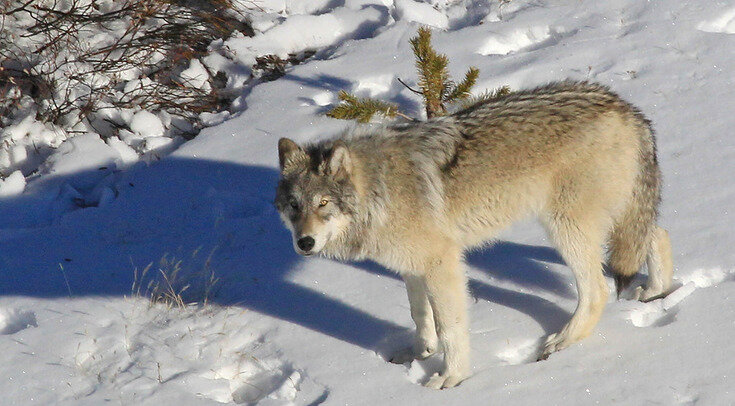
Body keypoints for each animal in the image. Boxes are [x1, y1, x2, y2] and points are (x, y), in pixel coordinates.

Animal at [274, 80, 672, 390]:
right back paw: (656, 291)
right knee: (658, 233)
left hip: (566, 228)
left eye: (323, 203)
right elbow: (419, 314)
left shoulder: (442, 262)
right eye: (294, 205)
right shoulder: (412, 266)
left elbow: (450, 327)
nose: (304, 243)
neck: (379, 189)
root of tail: (625, 106)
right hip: (614, 217)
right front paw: (420, 353)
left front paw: (452, 378)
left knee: (598, 290)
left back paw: (562, 341)